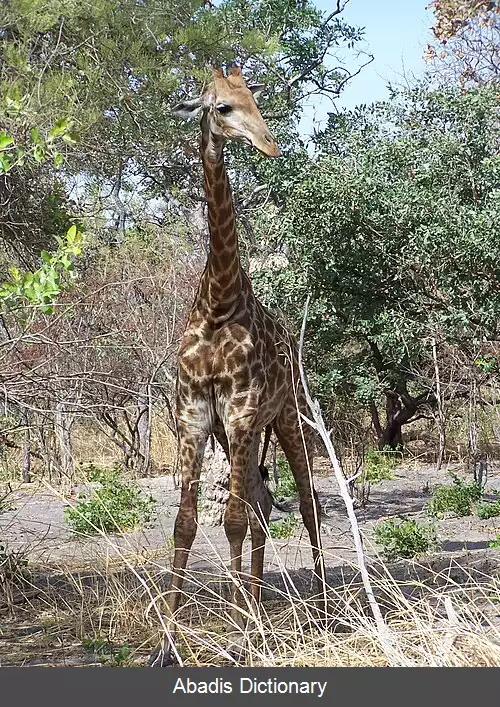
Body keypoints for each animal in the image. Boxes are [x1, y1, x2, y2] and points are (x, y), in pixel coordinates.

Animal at [148, 63, 326, 668]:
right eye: (222, 107)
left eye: (256, 100)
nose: (269, 145)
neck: (218, 300)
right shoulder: (195, 414)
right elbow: (185, 523)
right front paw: (170, 642)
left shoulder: (245, 409)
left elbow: (231, 519)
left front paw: (243, 634)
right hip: (238, 434)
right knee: (264, 506)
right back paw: (254, 598)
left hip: (288, 416)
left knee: (306, 502)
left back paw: (320, 608)